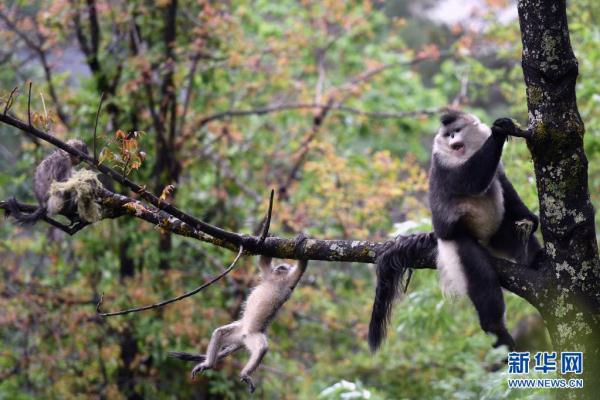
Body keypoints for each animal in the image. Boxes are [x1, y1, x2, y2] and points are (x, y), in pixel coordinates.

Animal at [170, 255, 308, 392]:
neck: (276, 280)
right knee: (220, 333)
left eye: (283, 267)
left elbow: (301, 267)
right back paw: (208, 364)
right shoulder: (270, 275)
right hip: (239, 333)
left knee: (262, 348)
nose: (278, 268)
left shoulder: (289, 280)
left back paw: (245, 373)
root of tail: (243, 339)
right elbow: (264, 261)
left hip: (253, 336)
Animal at [368, 111, 540, 352]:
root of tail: (482, 240)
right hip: (460, 245)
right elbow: (469, 180)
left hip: (498, 235)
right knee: (485, 290)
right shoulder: (443, 163)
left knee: (519, 240)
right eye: (447, 134)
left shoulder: (499, 173)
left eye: (456, 131)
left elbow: (505, 185)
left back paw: (539, 261)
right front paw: (498, 132)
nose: (451, 139)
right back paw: (499, 334)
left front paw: (531, 219)